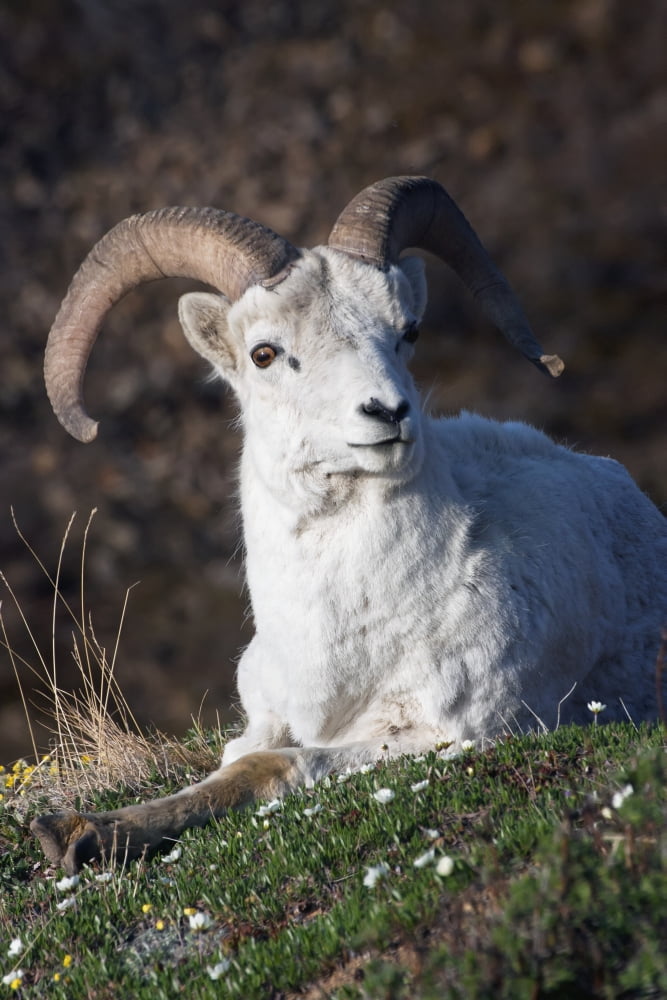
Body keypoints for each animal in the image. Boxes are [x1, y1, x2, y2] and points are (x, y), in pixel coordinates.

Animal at [31, 176, 667, 874]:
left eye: (407, 331)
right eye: (264, 353)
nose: (388, 411)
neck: (339, 638)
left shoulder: (443, 736)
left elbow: (266, 767)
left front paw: (86, 834)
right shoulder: (265, 711)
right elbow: (229, 761)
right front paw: (75, 832)